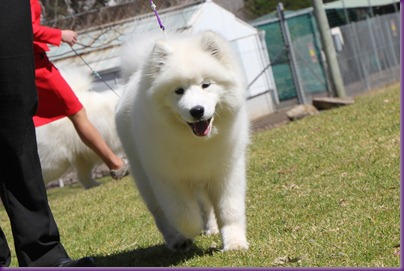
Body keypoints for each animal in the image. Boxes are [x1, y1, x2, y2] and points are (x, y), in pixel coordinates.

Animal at [115, 31, 249, 253]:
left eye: (206, 85)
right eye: (178, 90)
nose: (197, 110)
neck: (196, 143)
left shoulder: (226, 172)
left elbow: (229, 210)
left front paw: (235, 243)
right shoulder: (168, 178)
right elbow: (183, 214)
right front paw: (191, 229)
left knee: (206, 205)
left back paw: (211, 228)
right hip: (145, 181)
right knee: (161, 216)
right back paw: (177, 240)